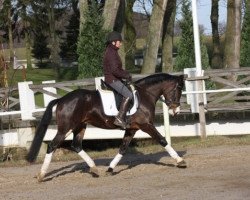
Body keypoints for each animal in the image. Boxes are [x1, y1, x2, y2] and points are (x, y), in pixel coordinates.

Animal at [26, 73, 187, 181]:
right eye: (179, 89)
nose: (176, 111)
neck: (144, 95)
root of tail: (61, 99)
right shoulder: (146, 125)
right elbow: (162, 140)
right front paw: (180, 161)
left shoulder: (131, 129)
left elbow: (122, 148)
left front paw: (110, 169)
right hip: (66, 128)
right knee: (52, 145)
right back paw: (41, 175)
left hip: (80, 126)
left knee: (76, 145)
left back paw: (94, 169)